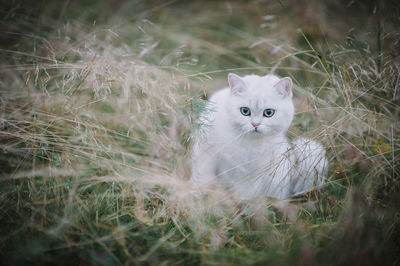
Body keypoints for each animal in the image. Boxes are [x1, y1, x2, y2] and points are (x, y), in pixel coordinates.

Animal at [191, 72, 328, 200]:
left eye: (268, 113)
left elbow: (248, 190)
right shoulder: (213, 155)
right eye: (245, 111)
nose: (255, 124)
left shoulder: (258, 171)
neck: (250, 144)